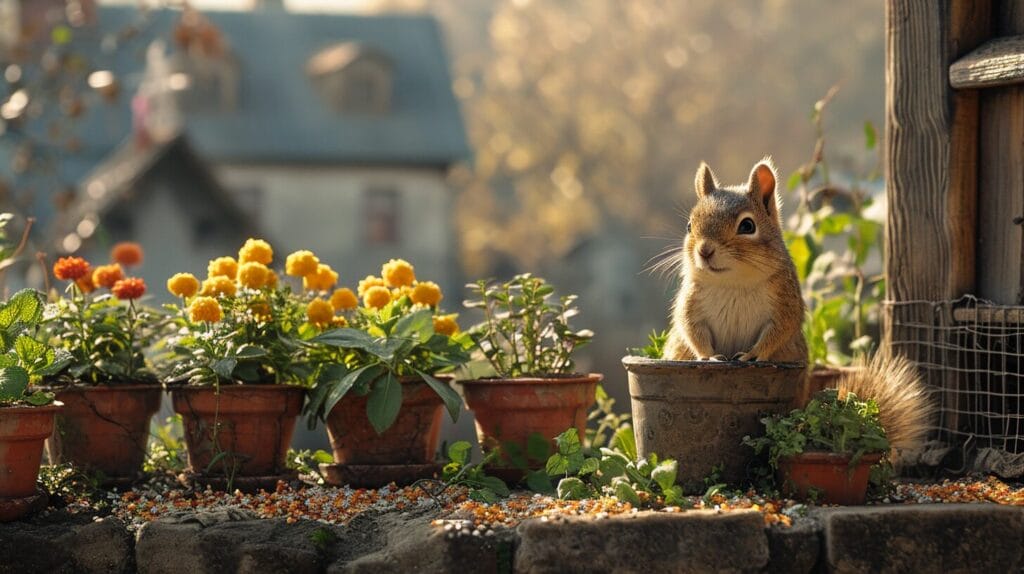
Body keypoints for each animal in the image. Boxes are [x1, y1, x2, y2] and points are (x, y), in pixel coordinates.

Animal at [663, 158, 806, 360]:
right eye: (689, 226)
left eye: (747, 226)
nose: (704, 250)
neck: (733, 283)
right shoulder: (690, 303)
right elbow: (692, 330)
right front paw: (710, 356)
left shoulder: (785, 303)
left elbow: (778, 333)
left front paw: (752, 354)